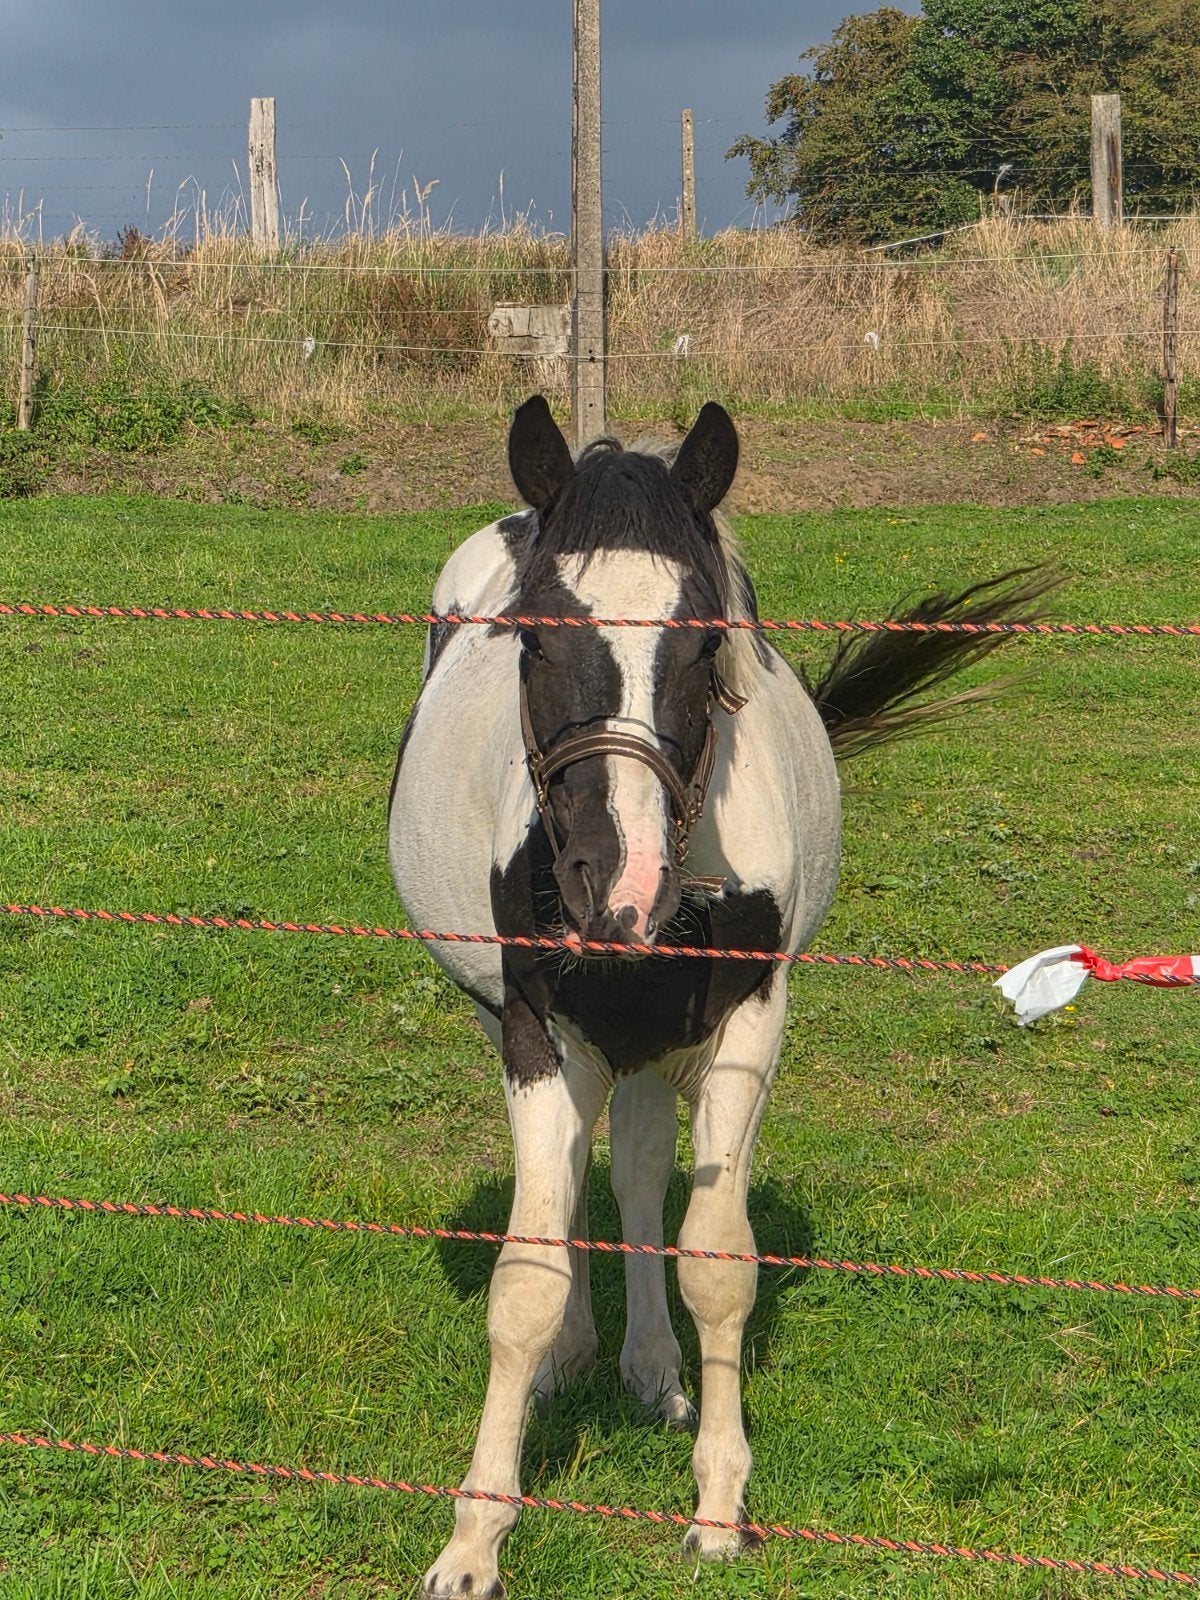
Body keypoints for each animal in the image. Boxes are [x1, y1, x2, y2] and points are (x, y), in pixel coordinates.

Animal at [389, 396, 1049, 1598]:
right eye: (533, 639)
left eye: (705, 642)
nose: (619, 887)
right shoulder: (535, 1025)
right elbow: (527, 1273)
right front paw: (473, 1538)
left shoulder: (747, 1022)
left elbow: (716, 1259)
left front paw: (717, 1503)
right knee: (580, 1173)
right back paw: (579, 1361)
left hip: (655, 1038)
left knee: (642, 1165)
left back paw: (654, 1372)